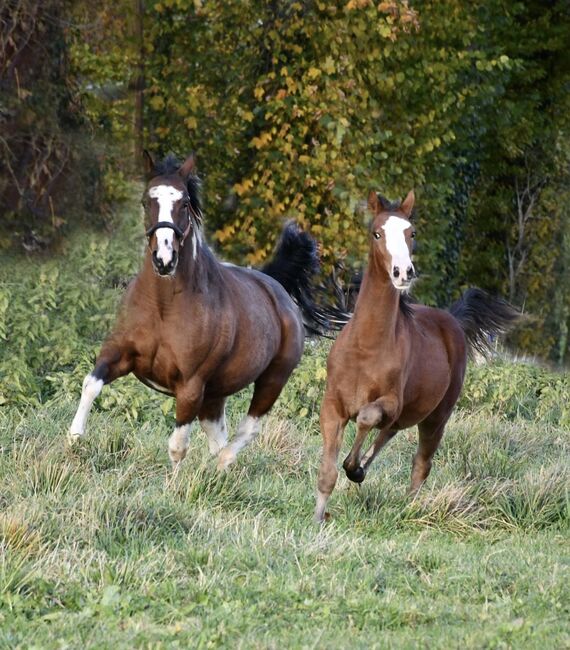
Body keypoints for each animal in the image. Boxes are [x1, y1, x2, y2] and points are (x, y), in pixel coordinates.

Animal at [69, 149, 330, 468]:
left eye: (183, 203)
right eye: (146, 201)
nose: (164, 259)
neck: (164, 306)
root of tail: (275, 287)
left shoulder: (191, 385)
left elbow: (177, 446)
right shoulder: (119, 354)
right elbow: (90, 384)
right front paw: (74, 439)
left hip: (273, 379)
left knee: (247, 429)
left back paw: (223, 465)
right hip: (215, 394)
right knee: (218, 434)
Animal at [312, 189, 516, 520]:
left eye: (412, 233)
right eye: (377, 233)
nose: (403, 272)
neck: (365, 347)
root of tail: (452, 320)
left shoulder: (391, 402)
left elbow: (367, 417)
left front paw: (353, 467)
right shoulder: (332, 407)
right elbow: (327, 471)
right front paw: (319, 516)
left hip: (437, 417)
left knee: (420, 462)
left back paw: (407, 507)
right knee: (390, 433)